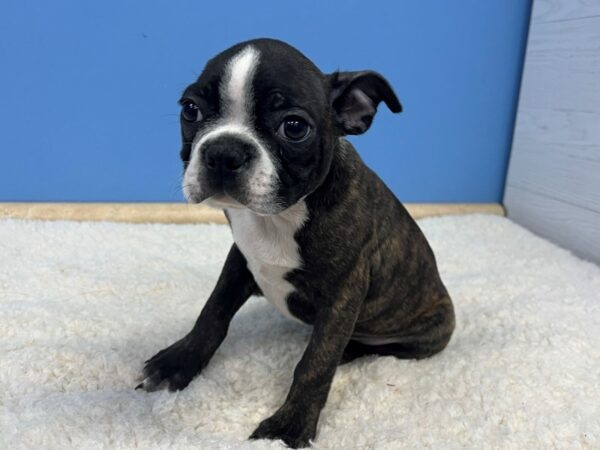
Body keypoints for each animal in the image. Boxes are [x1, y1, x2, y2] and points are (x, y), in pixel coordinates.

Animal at [137, 37, 454, 446]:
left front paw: (289, 425)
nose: (224, 151)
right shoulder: (240, 261)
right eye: (191, 110)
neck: (277, 217)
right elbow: (213, 313)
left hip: (430, 331)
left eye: (294, 127)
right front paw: (179, 362)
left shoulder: (343, 294)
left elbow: (316, 362)